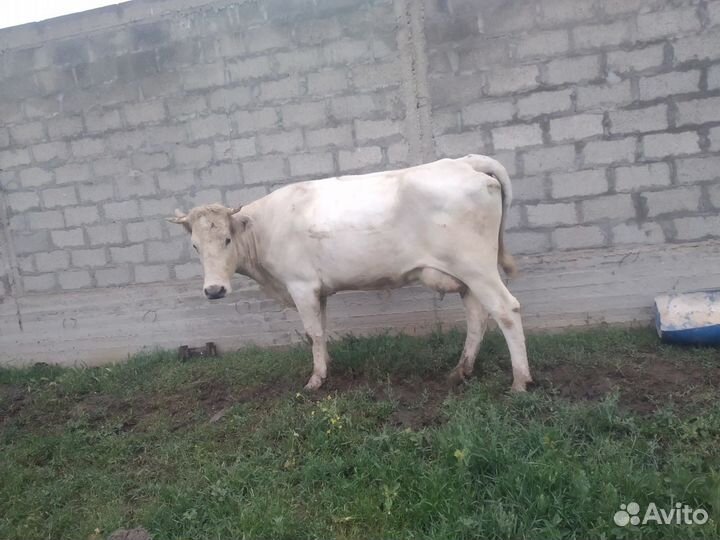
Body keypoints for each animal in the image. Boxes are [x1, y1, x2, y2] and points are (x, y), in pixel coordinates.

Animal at [168, 154, 533, 392]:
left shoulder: (301, 286)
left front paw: (315, 381)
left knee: (506, 310)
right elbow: (321, 331)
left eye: (227, 240)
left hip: (476, 266)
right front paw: (326, 368)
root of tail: (464, 161)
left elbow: (312, 333)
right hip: (467, 274)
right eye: (196, 246)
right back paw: (460, 371)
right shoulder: (318, 290)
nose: (214, 290)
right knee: (477, 316)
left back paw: (520, 381)